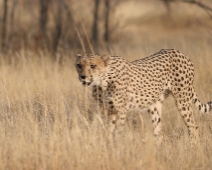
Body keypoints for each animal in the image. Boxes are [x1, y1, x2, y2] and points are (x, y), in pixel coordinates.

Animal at [76, 49, 212, 142]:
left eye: (93, 65)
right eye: (79, 65)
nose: (83, 77)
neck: (102, 81)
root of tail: (179, 52)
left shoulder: (120, 110)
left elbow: (118, 132)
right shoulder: (106, 109)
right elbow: (108, 131)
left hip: (182, 100)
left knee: (193, 126)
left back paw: (192, 149)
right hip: (154, 105)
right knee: (158, 132)